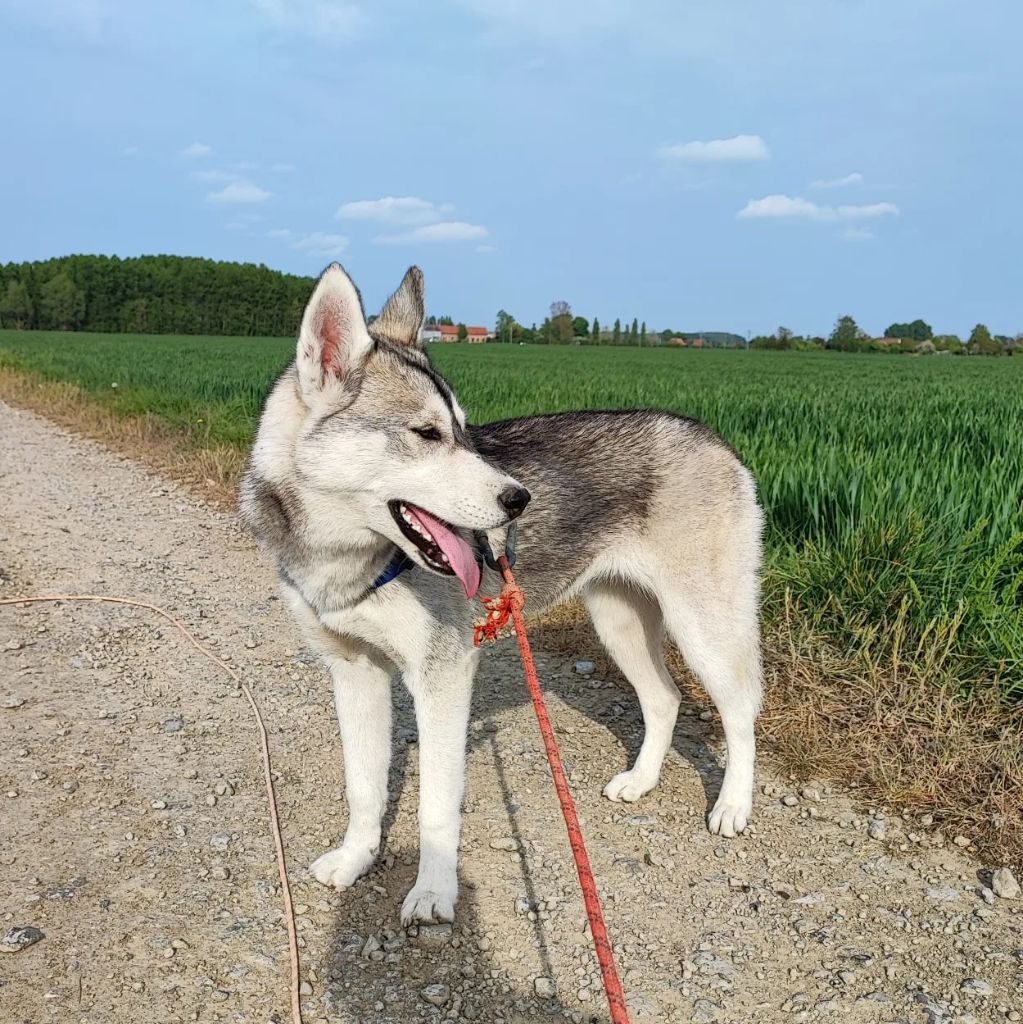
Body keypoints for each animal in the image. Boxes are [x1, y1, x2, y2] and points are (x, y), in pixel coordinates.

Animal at [239, 264, 765, 929]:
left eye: (465, 432)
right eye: (427, 433)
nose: (519, 500)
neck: (351, 558)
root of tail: (710, 437)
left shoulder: (442, 677)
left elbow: (436, 805)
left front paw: (434, 893)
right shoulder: (355, 672)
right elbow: (363, 785)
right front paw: (356, 859)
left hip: (704, 628)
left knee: (740, 710)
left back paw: (733, 806)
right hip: (618, 620)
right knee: (664, 699)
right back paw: (641, 781)